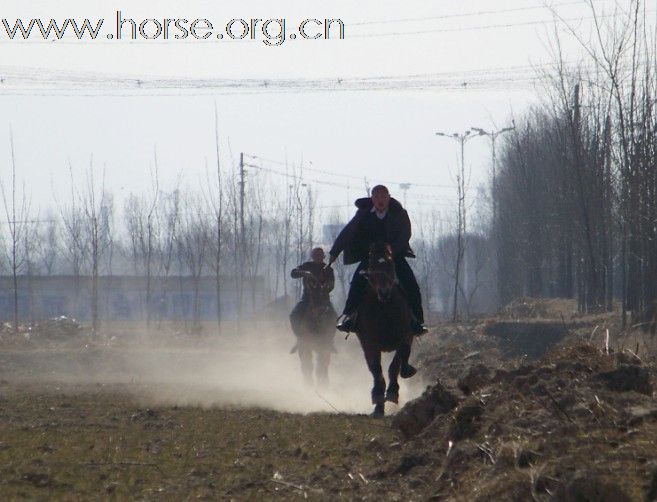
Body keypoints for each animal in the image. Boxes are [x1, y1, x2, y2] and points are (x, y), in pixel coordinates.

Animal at [354, 242, 416, 416]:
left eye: (390, 263)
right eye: (372, 265)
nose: (384, 292)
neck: (385, 309)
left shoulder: (405, 336)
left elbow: (394, 366)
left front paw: (393, 392)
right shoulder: (369, 344)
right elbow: (376, 370)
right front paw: (378, 400)